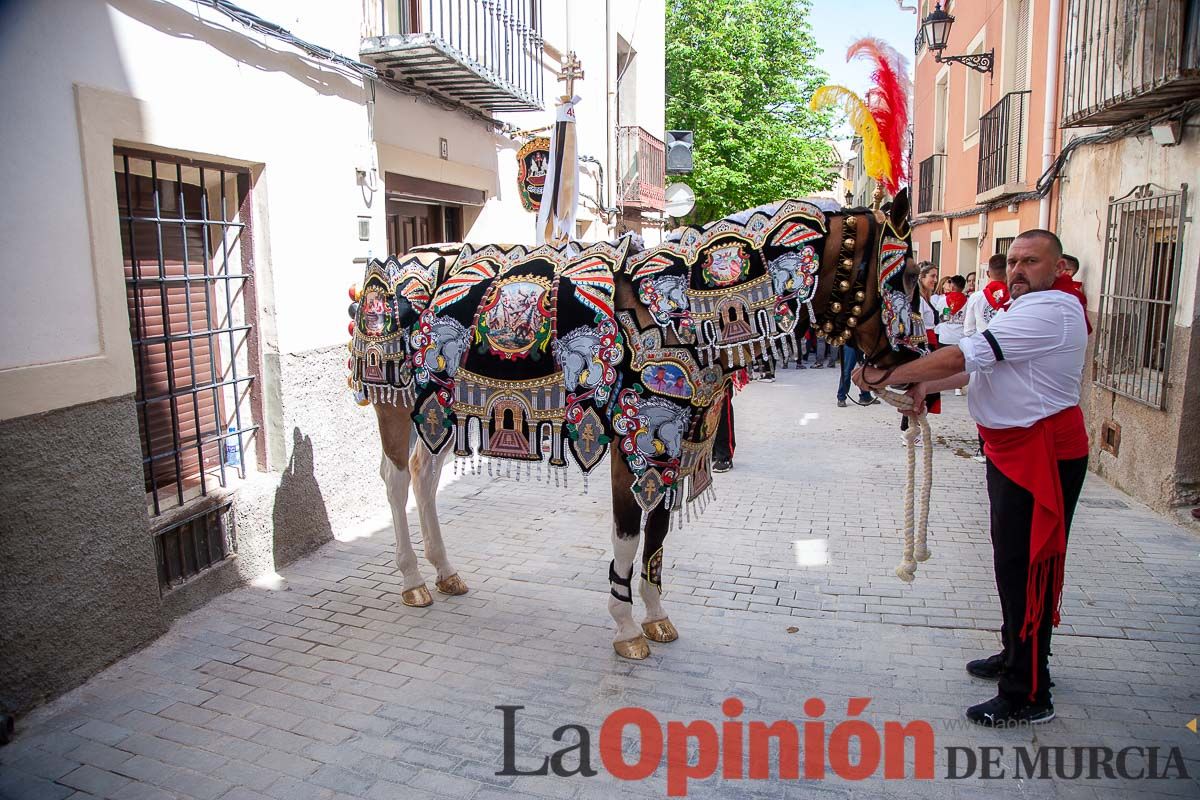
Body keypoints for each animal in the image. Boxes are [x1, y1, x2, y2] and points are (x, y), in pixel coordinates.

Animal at [348, 190, 926, 662]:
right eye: (907, 276)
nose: (913, 357)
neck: (678, 314)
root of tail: (384, 270)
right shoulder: (632, 445)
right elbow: (628, 536)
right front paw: (625, 625)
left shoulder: (673, 447)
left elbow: (658, 536)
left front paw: (655, 616)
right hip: (395, 404)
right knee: (397, 480)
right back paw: (412, 579)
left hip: (435, 408)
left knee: (423, 477)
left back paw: (444, 571)